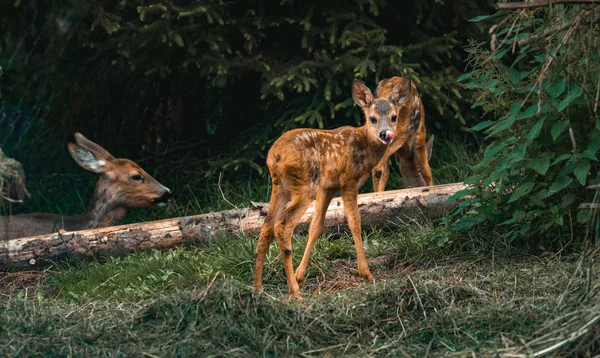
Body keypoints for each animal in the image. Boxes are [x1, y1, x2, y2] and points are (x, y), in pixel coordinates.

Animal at [253, 77, 412, 296]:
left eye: (394, 117)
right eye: (372, 118)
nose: (385, 134)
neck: (364, 148)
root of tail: (273, 157)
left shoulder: (327, 188)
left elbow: (316, 227)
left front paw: (300, 275)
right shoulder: (348, 181)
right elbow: (355, 222)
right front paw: (366, 273)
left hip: (280, 188)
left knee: (266, 228)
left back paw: (258, 288)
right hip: (305, 186)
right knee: (282, 226)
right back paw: (295, 292)